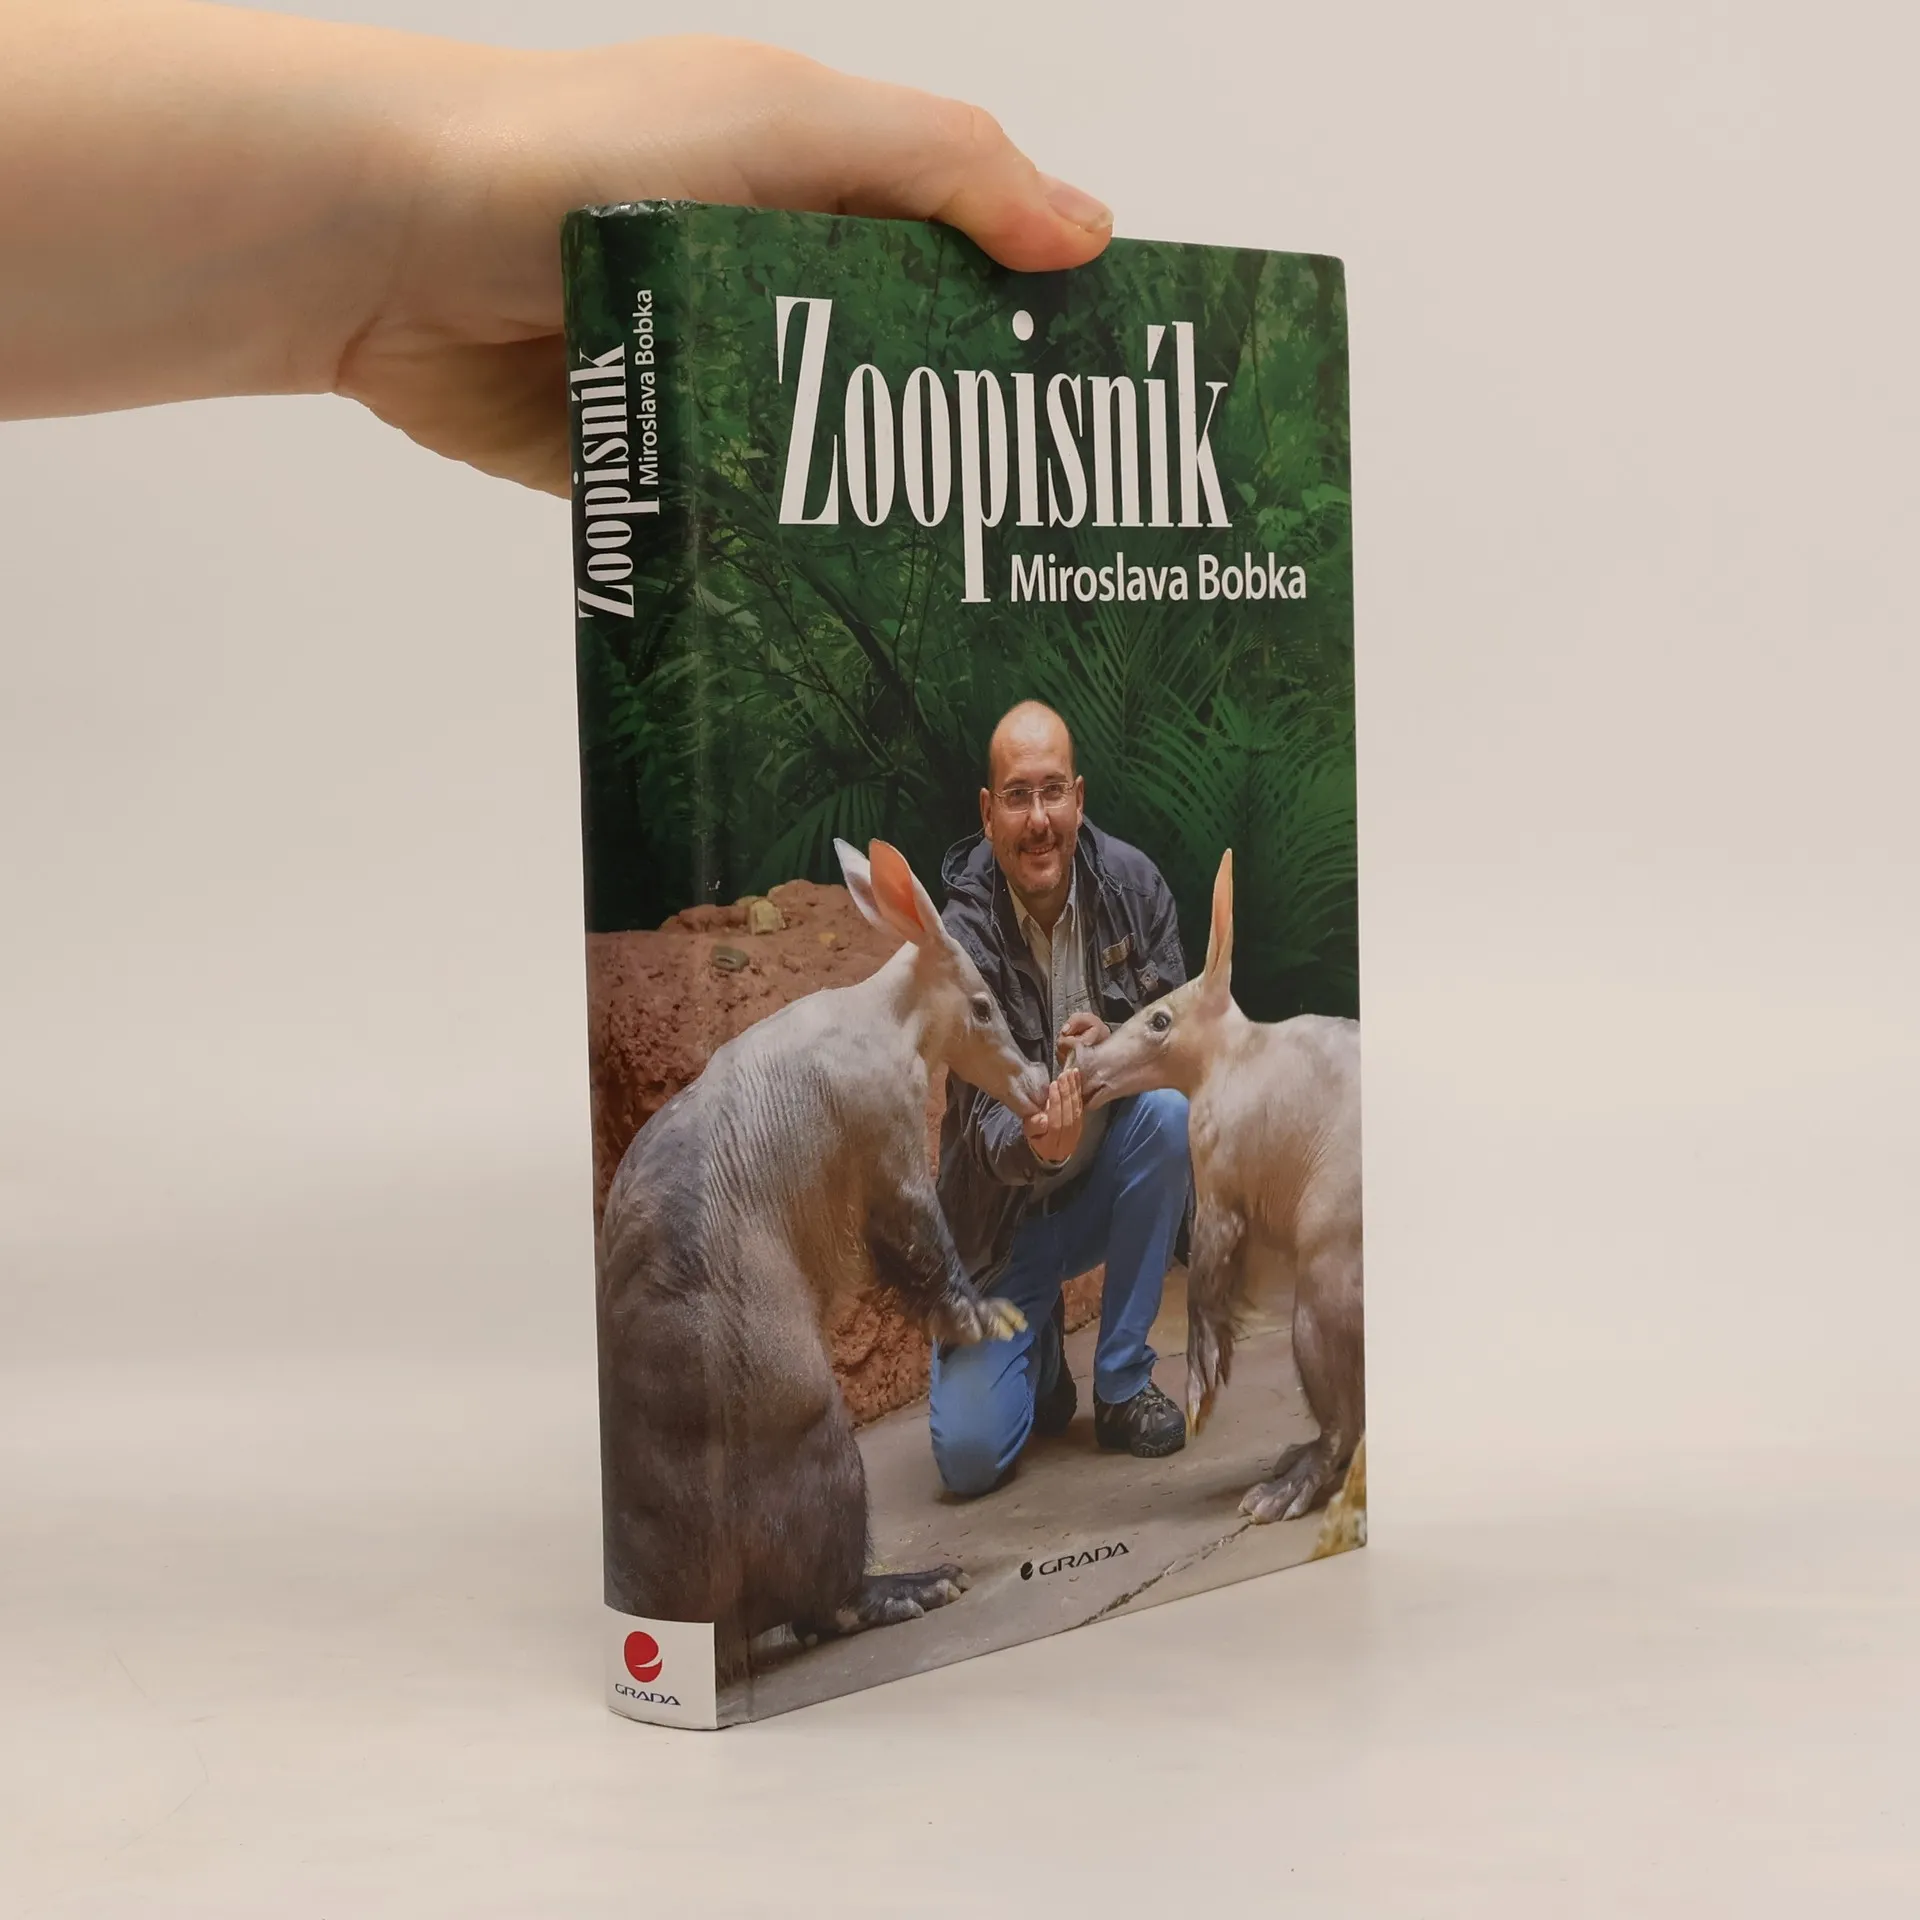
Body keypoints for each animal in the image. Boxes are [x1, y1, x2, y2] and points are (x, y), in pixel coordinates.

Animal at [596, 838, 1051, 1673]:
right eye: (983, 1005)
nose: (1036, 1084)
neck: (887, 1019)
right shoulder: (886, 1138)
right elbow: (922, 1236)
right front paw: (984, 1318)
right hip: (801, 1420)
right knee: (819, 1598)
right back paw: (911, 1585)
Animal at [1077, 850, 1364, 1522]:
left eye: (1159, 1019)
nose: (1083, 1065)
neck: (1234, 1055)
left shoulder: (1220, 1181)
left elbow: (1204, 1284)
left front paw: (1200, 1395)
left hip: (1322, 1293)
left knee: (1343, 1423)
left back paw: (1283, 1490)